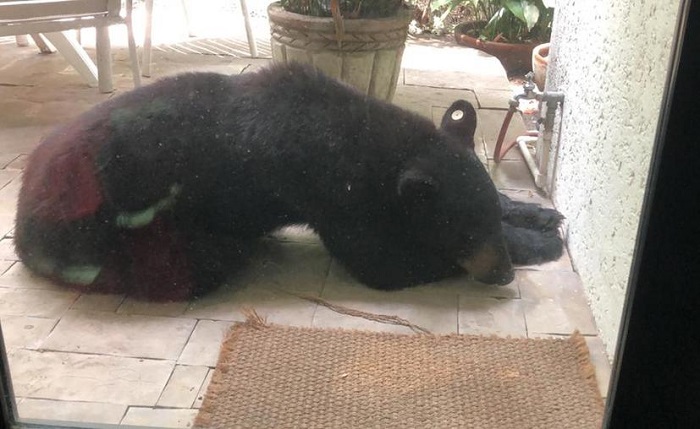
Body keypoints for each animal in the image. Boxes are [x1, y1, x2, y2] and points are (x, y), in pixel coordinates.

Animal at [15, 62, 556, 300]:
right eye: (461, 230)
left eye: (484, 218)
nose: (501, 275)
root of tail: (21, 231)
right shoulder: (332, 195)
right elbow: (386, 263)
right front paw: (534, 246)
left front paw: (537, 214)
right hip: (124, 246)